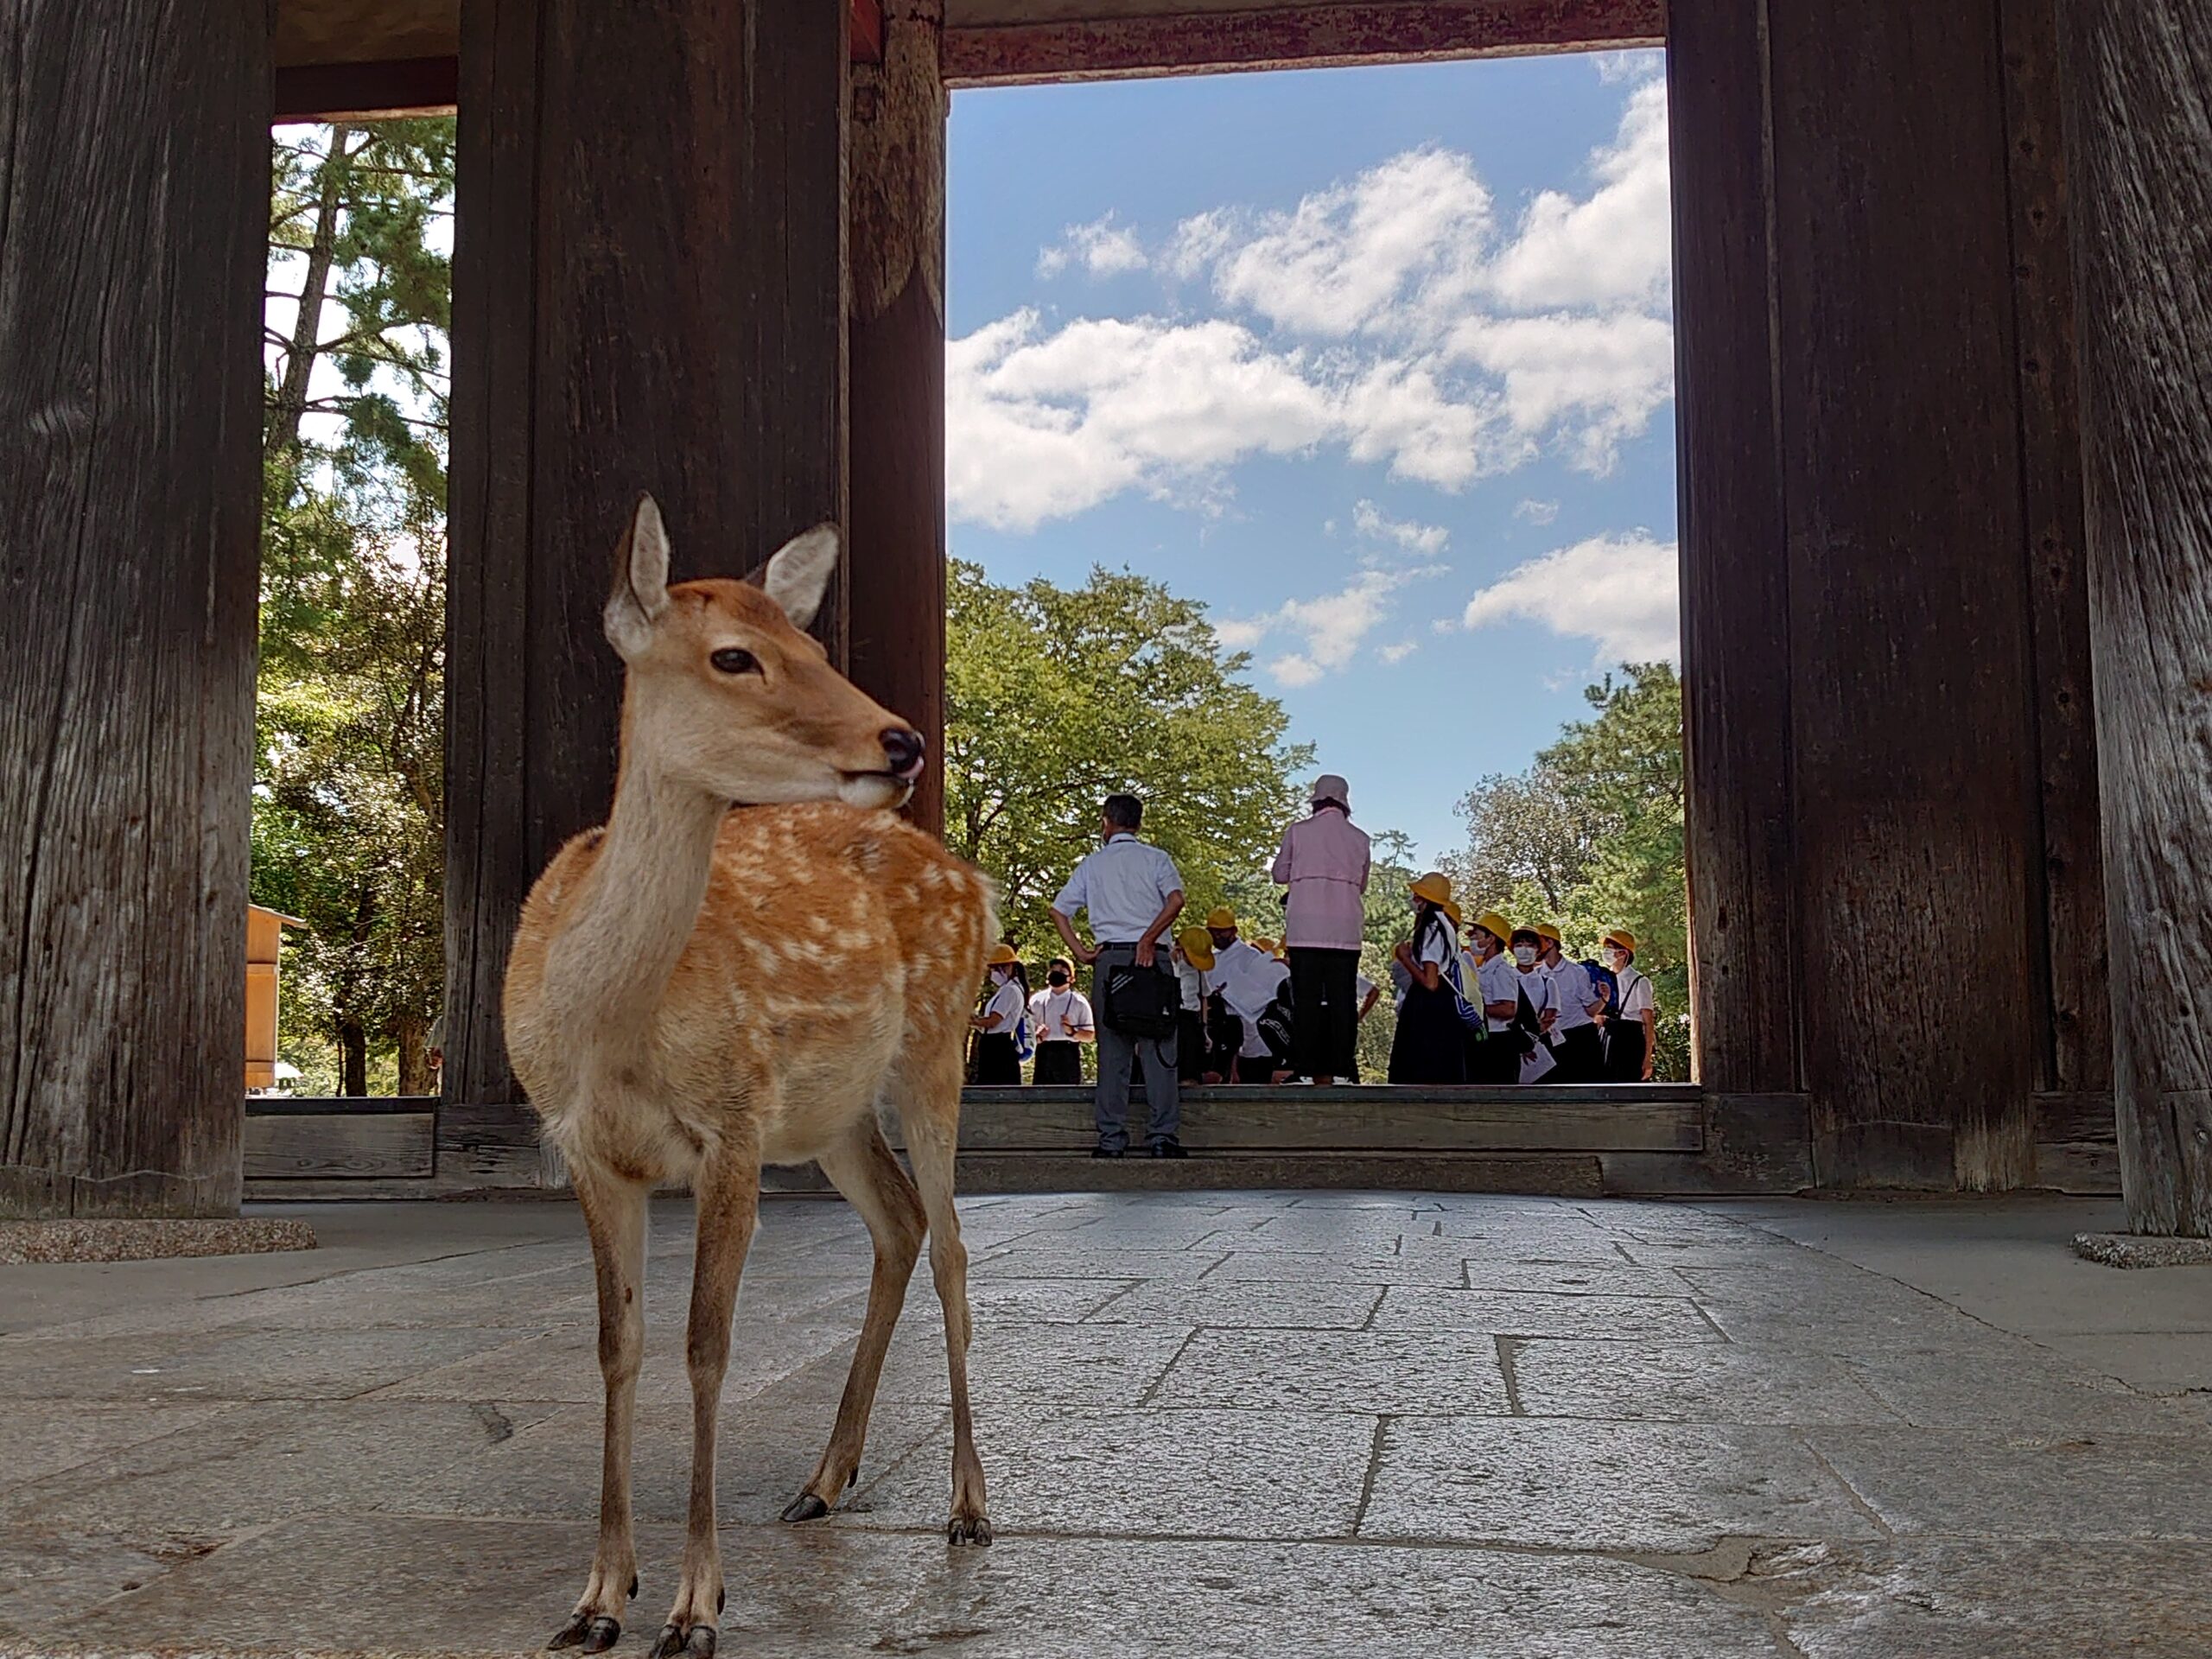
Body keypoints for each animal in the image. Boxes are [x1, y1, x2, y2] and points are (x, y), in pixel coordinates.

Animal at [508, 498, 995, 1659]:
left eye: (815, 648)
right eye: (735, 655)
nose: (902, 740)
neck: (604, 1028)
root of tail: (979, 882)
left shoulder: (729, 1126)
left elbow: (707, 1347)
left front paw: (695, 1607)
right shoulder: (586, 1149)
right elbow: (618, 1345)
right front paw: (599, 1598)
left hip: (935, 1046)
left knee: (954, 1244)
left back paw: (967, 1505)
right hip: (828, 1114)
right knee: (901, 1220)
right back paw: (822, 1481)